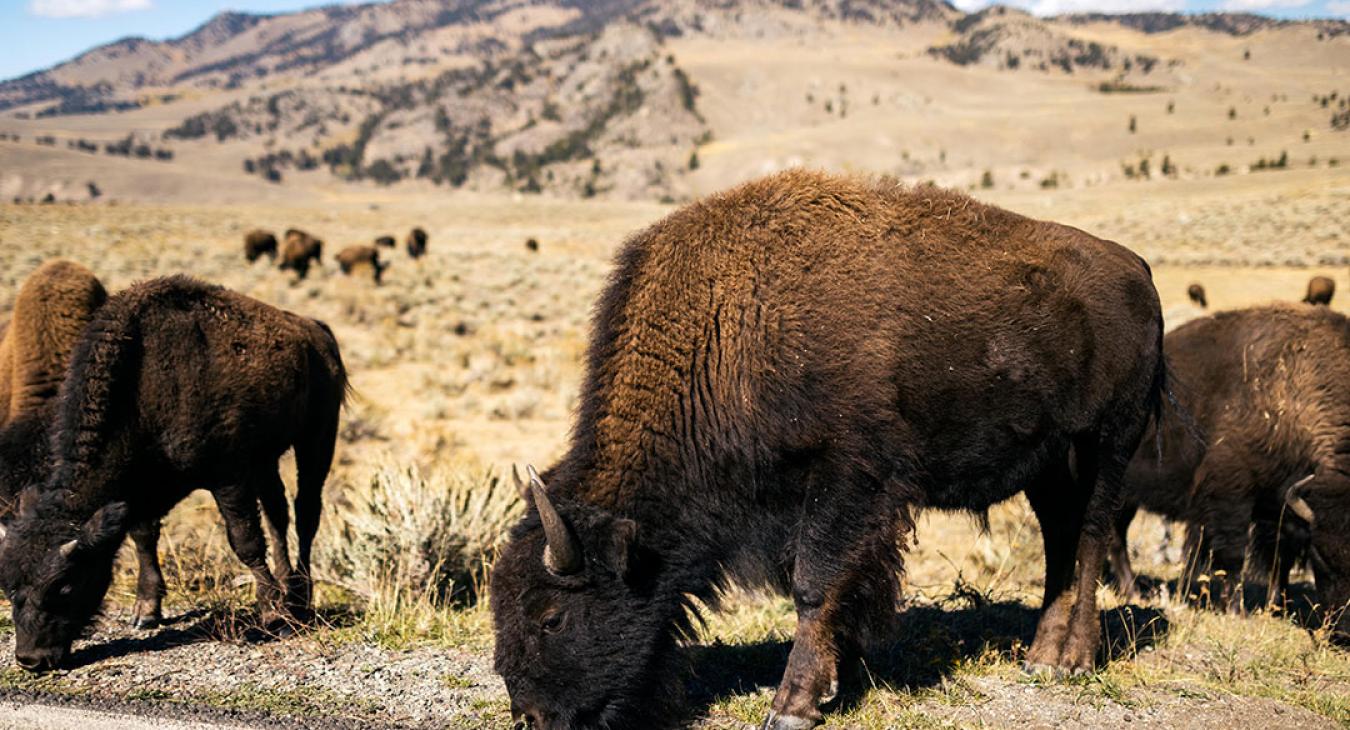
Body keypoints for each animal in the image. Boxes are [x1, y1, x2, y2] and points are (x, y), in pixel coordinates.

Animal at [0, 276, 347, 671]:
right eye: (9, 586)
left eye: (65, 584)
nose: (31, 658)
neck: (143, 382)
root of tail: (316, 330)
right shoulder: (143, 488)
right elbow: (144, 536)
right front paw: (146, 611)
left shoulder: (229, 476)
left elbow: (244, 541)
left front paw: (272, 615)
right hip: (267, 459)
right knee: (278, 514)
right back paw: (290, 587)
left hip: (316, 438)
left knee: (306, 512)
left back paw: (301, 597)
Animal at [490, 171, 1165, 729]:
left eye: (551, 616)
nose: (530, 716)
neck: (732, 322)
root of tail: (1137, 268)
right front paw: (838, 679)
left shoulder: (848, 480)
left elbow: (814, 585)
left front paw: (792, 706)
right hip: (1046, 462)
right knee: (1060, 537)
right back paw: (1038, 655)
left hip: (1109, 442)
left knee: (1091, 537)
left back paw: (1072, 660)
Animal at [1111, 305, 1349, 626]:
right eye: (1320, 557)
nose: (1341, 624)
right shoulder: (1231, 497)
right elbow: (1235, 557)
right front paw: (1237, 610)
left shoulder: (1282, 508)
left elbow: (1280, 561)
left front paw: (1276, 607)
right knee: (1115, 539)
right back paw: (1133, 591)